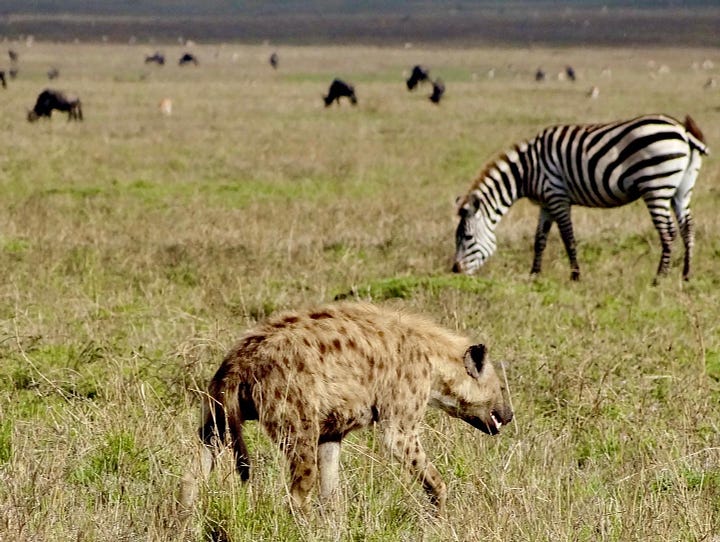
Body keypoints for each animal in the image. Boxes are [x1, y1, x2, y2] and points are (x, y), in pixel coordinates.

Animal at [456, 115, 708, 284]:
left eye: (467, 237)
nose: (454, 270)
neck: (527, 170)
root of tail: (683, 131)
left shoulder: (557, 196)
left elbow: (568, 238)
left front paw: (575, 276)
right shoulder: (546, 203)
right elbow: (539, 240)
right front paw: (534, 274)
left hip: (656, 186)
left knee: (668, 232)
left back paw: (659, 278)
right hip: (681, 190)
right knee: (688, 228)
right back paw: (686, 275)